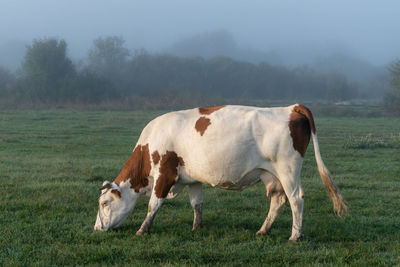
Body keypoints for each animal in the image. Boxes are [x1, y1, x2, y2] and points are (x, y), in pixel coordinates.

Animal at [94, 104, 346, 243]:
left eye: (105, 203)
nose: (96, 228)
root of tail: (291, 108)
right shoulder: (192, 178)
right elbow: (196, 203)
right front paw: (197, 227)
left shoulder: (164, 174)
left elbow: (153, 205)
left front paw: (142, 229)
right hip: (273, 175)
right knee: (278, 201)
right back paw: (263, 230)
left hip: (288, 171)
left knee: (296, 199)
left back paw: (295, 235)